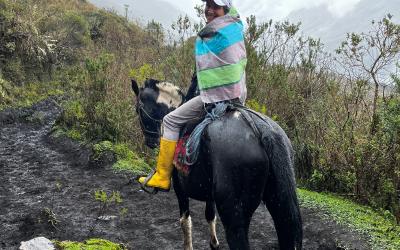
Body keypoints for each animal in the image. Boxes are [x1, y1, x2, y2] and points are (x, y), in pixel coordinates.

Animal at [132, 78, 304, 250]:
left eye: (137, 110)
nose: (150, 142)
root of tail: (261, 130)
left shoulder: (180, 188)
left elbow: (185, 221)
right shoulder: (209, 193)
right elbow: (210, 215)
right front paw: (214, 243)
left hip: (234, 214)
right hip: (277, 204)